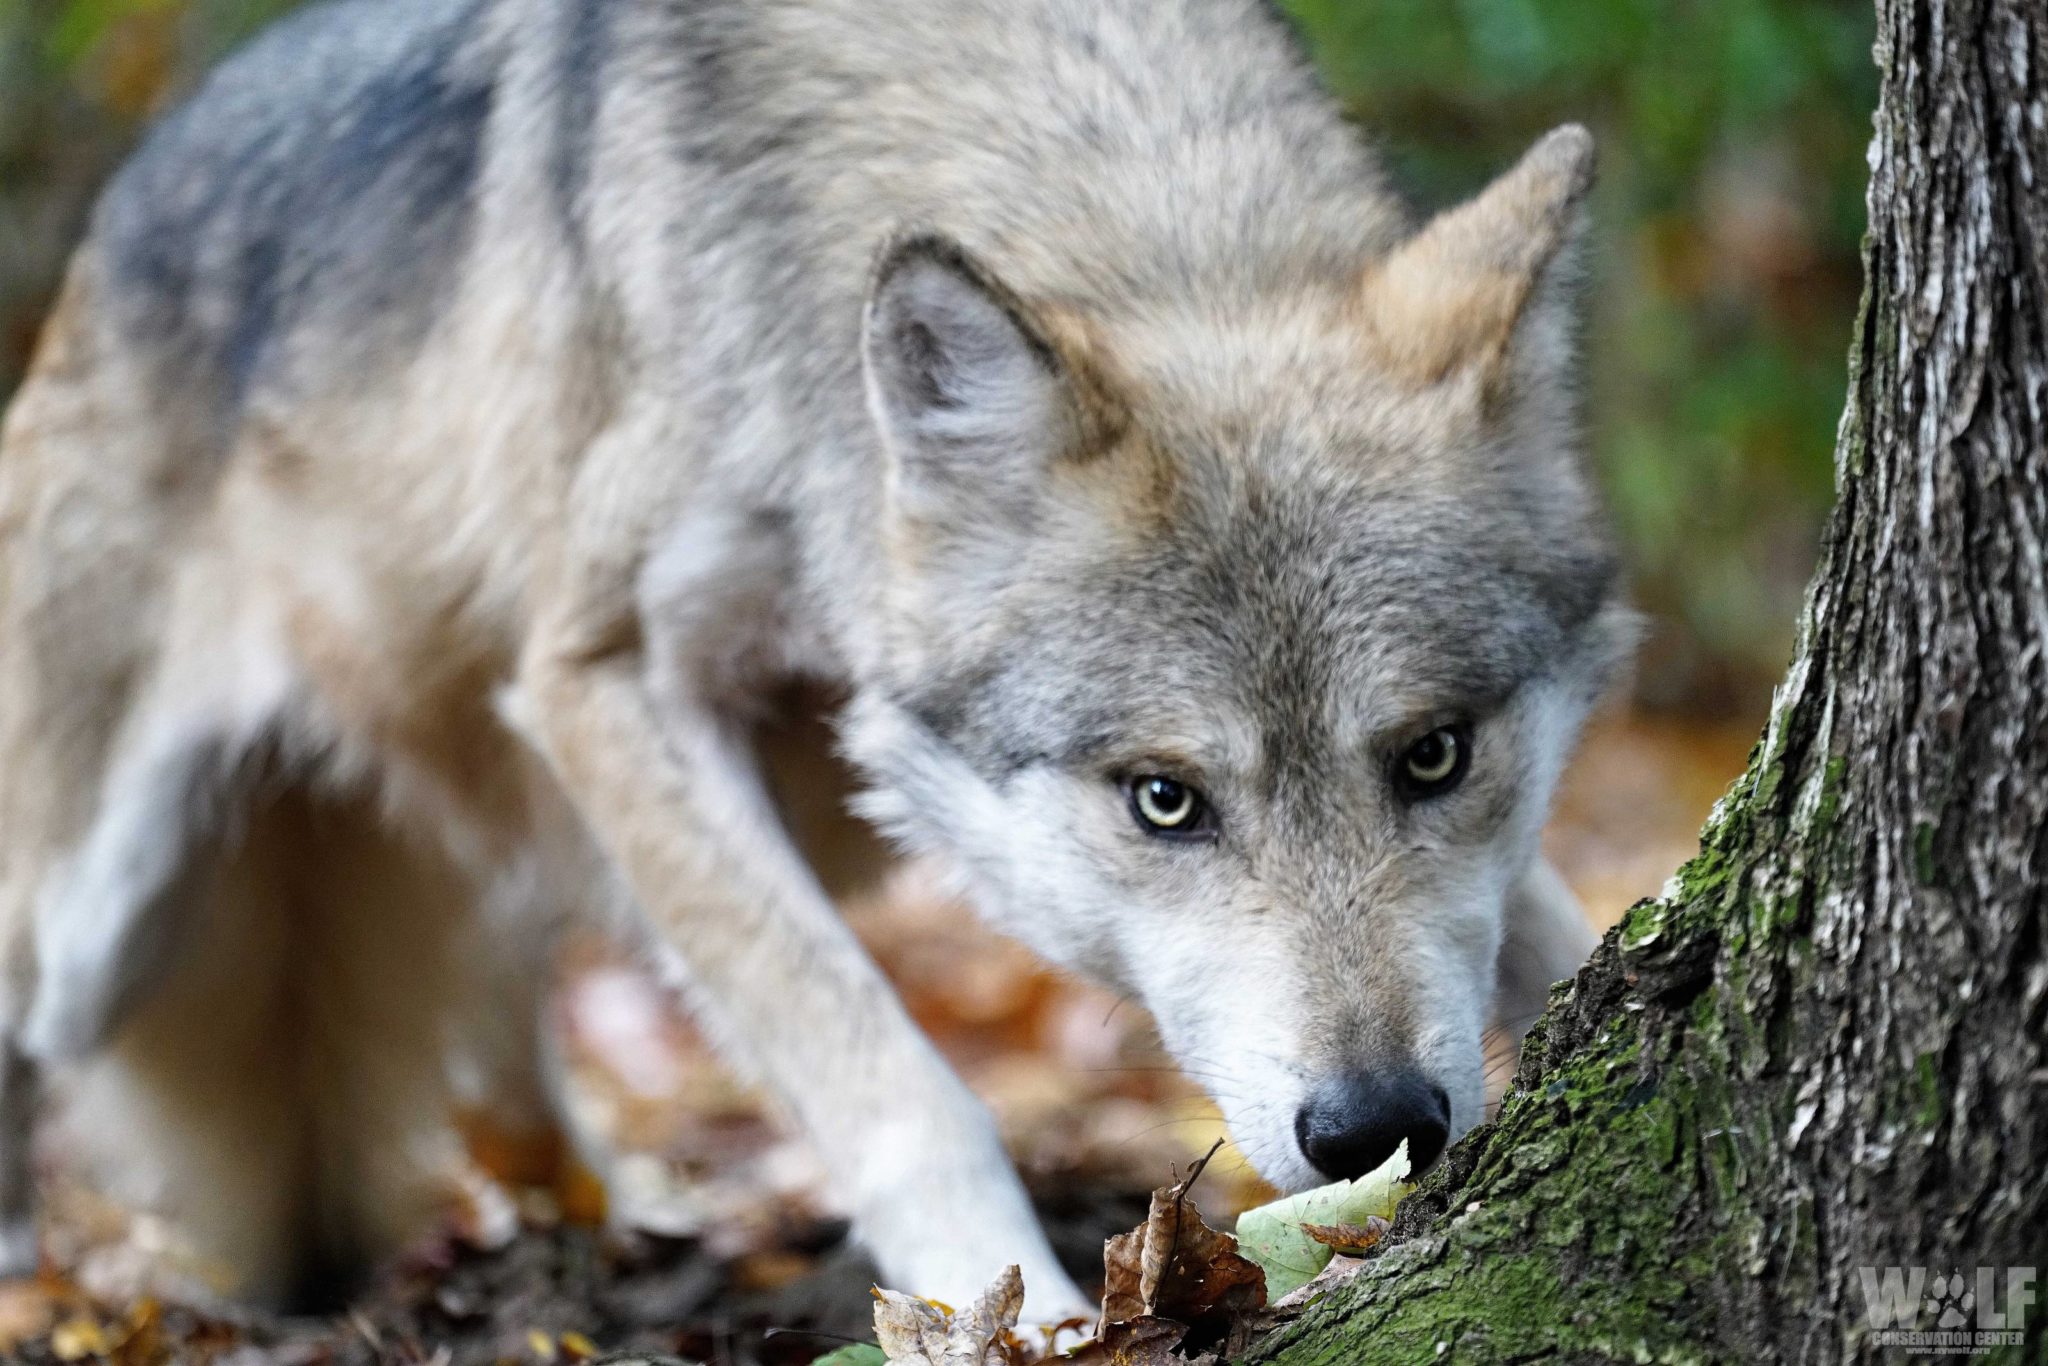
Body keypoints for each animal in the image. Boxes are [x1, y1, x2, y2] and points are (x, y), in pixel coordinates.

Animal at [0, 0, 1630, 1310]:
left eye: (1434, 755)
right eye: (1164, 798)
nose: (1378, 1128)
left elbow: (1561, 934)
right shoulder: (598, 682)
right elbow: (889, 1077)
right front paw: (1021, 1318)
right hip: (98, 927)